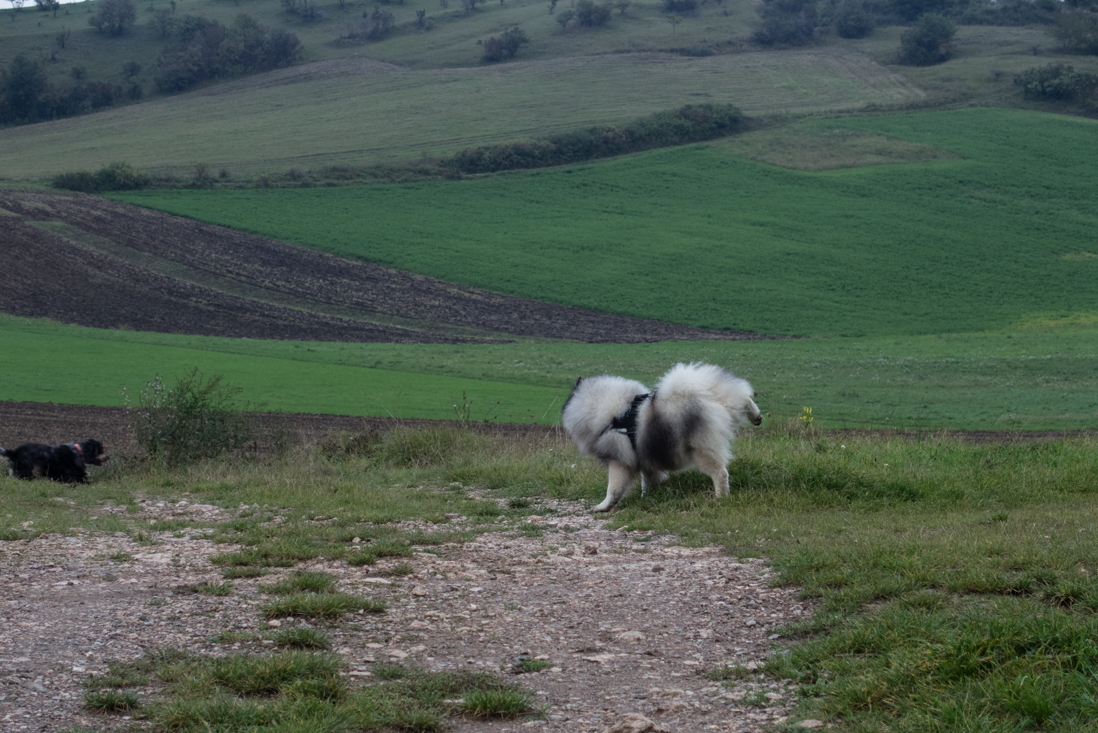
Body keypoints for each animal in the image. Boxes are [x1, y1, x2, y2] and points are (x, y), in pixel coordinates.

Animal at [562, 362, 759, 513]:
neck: (615, 416)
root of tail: (708, 396)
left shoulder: (619, 462)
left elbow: (613, 489)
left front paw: (603, 506)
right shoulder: (646, 460)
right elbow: (648, 481)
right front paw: (648, 496)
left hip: (701, 451)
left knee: (720, 473)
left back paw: (720, 496)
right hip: (726, 405)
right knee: (742, 398)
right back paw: (756, 416)